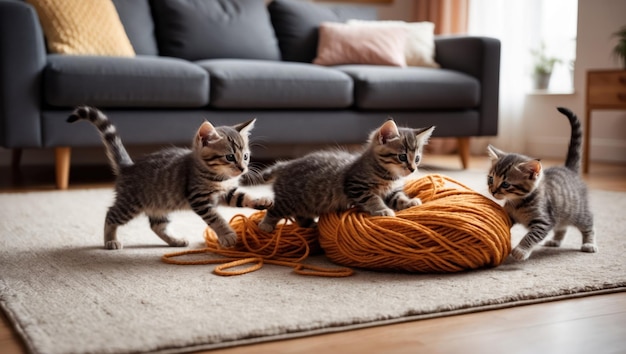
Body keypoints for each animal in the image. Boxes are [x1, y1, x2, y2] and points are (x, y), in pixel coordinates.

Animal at [67, 106, 270, 250]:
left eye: (246, 156)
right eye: (229, 157)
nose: (243, 169)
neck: (219, 178)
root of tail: (128, 167)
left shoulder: (225, 193)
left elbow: (242, 196)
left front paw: (261, 200)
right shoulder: (199, 198)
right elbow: (216, 218)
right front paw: (227, 235)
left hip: (159, 203)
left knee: (157, 225)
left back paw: (175, 240)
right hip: (130, 204)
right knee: (111, 214)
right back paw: (110, 240)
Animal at [251, 120, 432, 234]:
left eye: (417, 158)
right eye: (402, 157)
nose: (413, 169)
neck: (388, 175)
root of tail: (285, 165)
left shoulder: (392, 191)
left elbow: (399, 197)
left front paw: (409, 202)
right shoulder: (356, 186)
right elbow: (373, 199)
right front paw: (382, 210)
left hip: (305, 203)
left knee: (299, 215)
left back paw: (311, 225)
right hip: (288, 200)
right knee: (275, 209)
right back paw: (265, 225)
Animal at [482, 106, 596, 262]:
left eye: (505, 184)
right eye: (491, 179)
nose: (492, 191)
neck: (518, 203)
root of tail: (569, 169)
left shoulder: (544, 220)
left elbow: (531, 236)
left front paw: (521, 250)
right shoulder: (511, 214)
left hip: (577, 211)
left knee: (588, 222)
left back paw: (589, 243)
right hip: (561, 214)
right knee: (562, 226)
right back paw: (555, 240)